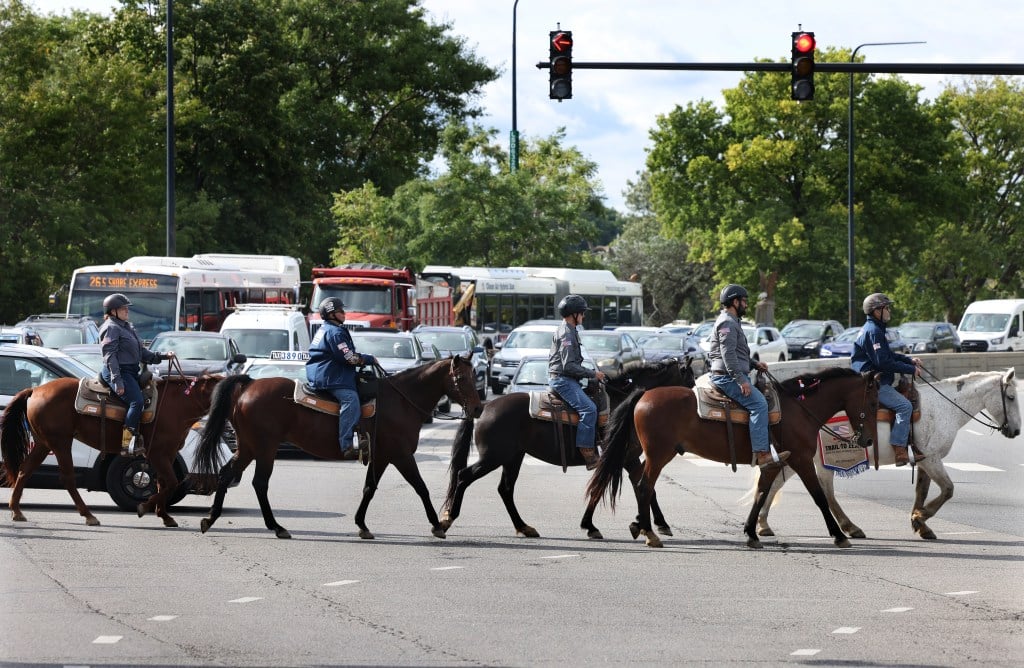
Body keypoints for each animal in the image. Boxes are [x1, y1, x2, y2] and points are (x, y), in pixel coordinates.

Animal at [2, 372, 222, 524]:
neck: (176, 406)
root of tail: (35, 390)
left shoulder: (168, 453)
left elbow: (163, 483)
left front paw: (164, 516)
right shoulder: (158, 454)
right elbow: (171, 482)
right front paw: (144, 507)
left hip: (43, 442)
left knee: (24, 470)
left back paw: (16, 510)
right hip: (60, 442)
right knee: (67, 478)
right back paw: (88, 515)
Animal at [194, 354, 483, 536]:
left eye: (474, 375)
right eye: (461, 378)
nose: (478, 408)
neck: (401, 400)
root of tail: (249, 384)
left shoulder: (381, 456)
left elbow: (369, 488)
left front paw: (362, 525)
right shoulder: (400, 455)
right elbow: (421, 487)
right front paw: (438, 524)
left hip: (248, 447)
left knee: (226, 474)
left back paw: (210, 519)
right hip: (264, 448)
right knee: (260, 483)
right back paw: (276, 527)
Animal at [436, 356, 692, 540]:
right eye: (689, 379)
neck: (627, 402)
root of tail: (485, 406)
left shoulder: (626, 459)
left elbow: (639, 488)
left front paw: (649, 524)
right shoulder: (625, 458)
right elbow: (631, 488)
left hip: (512, 457)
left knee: (505, 489)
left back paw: (524, 527)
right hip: (494, 457)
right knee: (464, 476)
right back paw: (447, 520)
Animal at [585, 368, 880, 549]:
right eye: (874, 402)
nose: (868, 440)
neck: (799, 411)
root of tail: (643, 394)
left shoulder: (773, 463)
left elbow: (761, 493)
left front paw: (751, 532)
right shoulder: (801, 460)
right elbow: (819, 497)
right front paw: (839, 535)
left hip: (653, 454)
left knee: (640, 484)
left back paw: (639, 525)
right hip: (659, 454)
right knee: (645, 486)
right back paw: (650, 533)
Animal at [757, 368, 1019, 540]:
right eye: (1011, 397)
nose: (1016, 431)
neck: (945, 407)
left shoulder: (923, 460)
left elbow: (921, 491)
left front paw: (920, 523)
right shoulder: (932, 459)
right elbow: (948, 490)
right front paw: (921, 517)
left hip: (800, 457)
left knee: (778, 483)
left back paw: (763, 524)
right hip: (813, 460)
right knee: (819, 490)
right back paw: (848, 527)